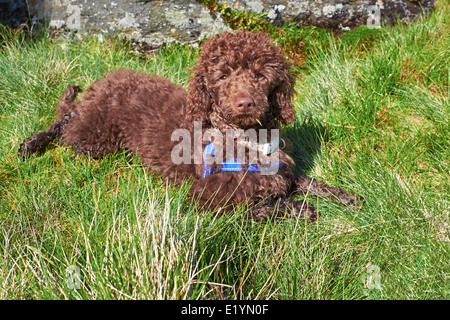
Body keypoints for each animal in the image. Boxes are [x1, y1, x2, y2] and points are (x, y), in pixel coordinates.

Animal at [18, 30, 362, 220]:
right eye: (222, 76)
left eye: (260, 75)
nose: (245, 103)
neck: (245, 140)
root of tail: (105, 78)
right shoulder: (203, 200)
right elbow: (262, 206)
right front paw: (300, 208)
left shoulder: (283, 172)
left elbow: (310, 182)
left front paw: (348, 197)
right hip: (96, 136)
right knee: (66, 125)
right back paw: (31, 144)